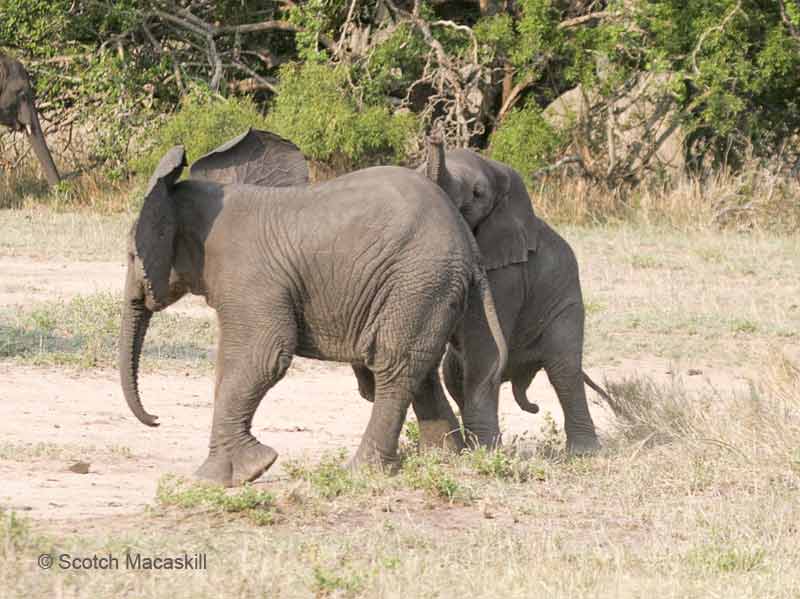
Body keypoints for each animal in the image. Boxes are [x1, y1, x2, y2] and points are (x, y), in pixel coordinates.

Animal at [119, 130, 506, 488]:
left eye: (132, 255)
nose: (156, 419)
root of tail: (468, 243)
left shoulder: (251, 278)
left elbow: (261, 355)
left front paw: (219, 479)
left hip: (418, 278)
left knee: (395, 366)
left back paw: (361, 472)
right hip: (432, 288)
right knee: (425, 370)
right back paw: (444, 460)